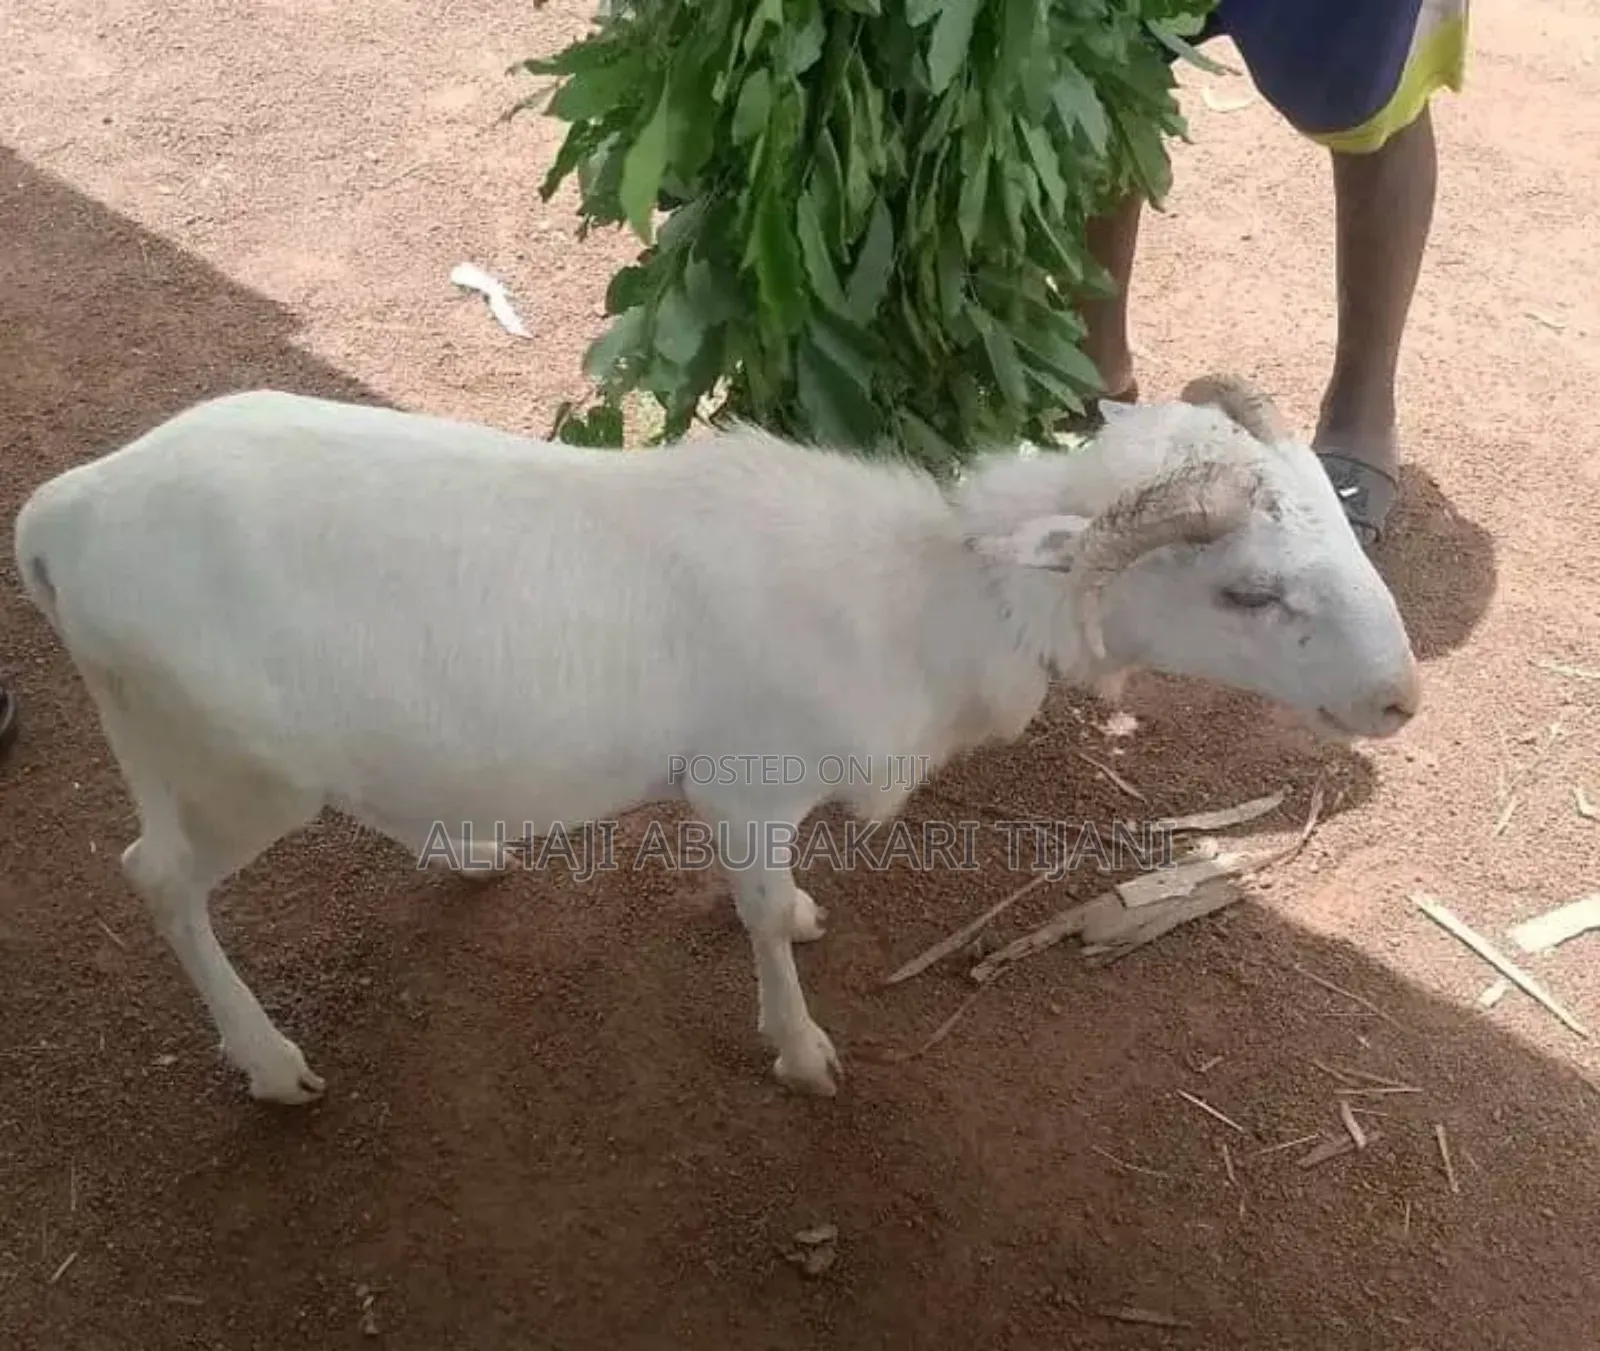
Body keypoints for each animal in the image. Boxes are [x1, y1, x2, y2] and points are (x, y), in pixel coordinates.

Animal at [12, 374, 1420, 1103]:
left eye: (1338, 520)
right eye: (1246, 591)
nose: (1401, 698)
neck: (924, 596)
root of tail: (63, 515)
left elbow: (771, 900)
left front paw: (798, 920)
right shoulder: (746, 785)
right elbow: (750, 916)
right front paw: (799, 1049)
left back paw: (463, 850)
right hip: (231, 767)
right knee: (157, 878)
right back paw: (268, 1061)